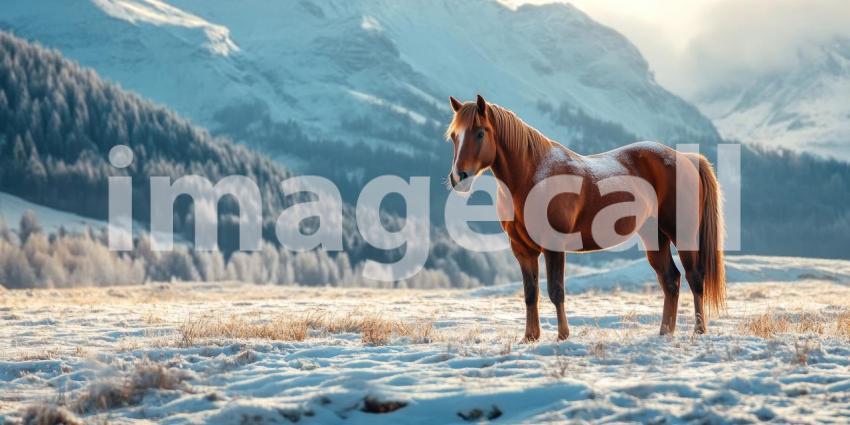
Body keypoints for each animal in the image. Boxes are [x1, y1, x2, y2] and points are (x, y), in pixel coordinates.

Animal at [445, 95, 725, 341]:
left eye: (480, 132)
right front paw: (530, 337)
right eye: (454, 136)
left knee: (694, 277)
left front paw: (562, 336)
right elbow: (530, 293)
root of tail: (686, 159)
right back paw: (665, 332)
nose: (458, 177)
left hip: (682, 234)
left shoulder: (553, 246)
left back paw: (698, 331)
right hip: (654, 237)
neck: (532, 175)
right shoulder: (522, 250)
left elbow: (556, 291)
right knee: (671, 280)